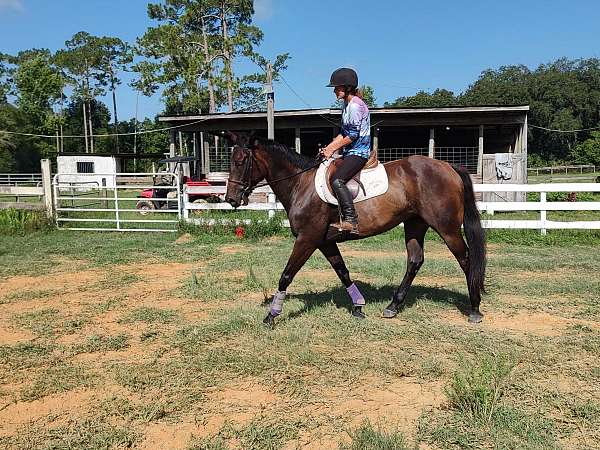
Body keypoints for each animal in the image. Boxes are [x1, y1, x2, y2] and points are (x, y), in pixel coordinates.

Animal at [223, 132, 486, 328]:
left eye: (240, 161)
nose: (231, 199)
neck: (301, 184)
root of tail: (449, 166)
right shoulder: (324, 241)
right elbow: (343, 272)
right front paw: (358, 306)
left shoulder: (307, 239)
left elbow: (286, 275)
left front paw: (272, 315)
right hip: (414, 224)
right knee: (415, 260)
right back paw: (393, 306)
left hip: (447, 228)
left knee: (466, 259)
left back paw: (474, 308)